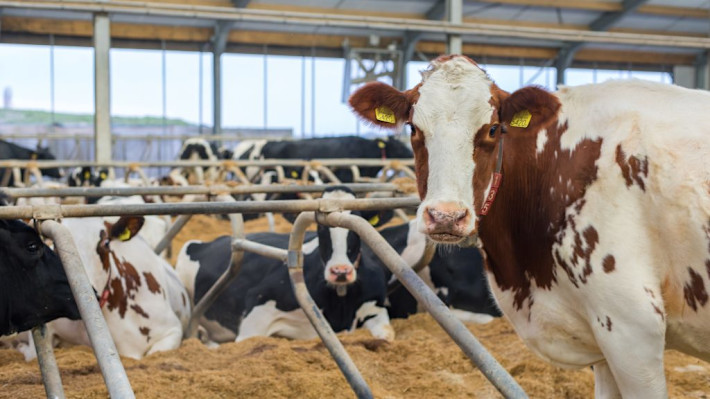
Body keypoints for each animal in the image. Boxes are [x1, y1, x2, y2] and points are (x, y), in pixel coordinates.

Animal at [174, 188, 394, 344]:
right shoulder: (257, 310)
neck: (339, 301)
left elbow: (386, 336)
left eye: (357, 228)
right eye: (321, 227)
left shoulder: (375, 307)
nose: (340, 271)